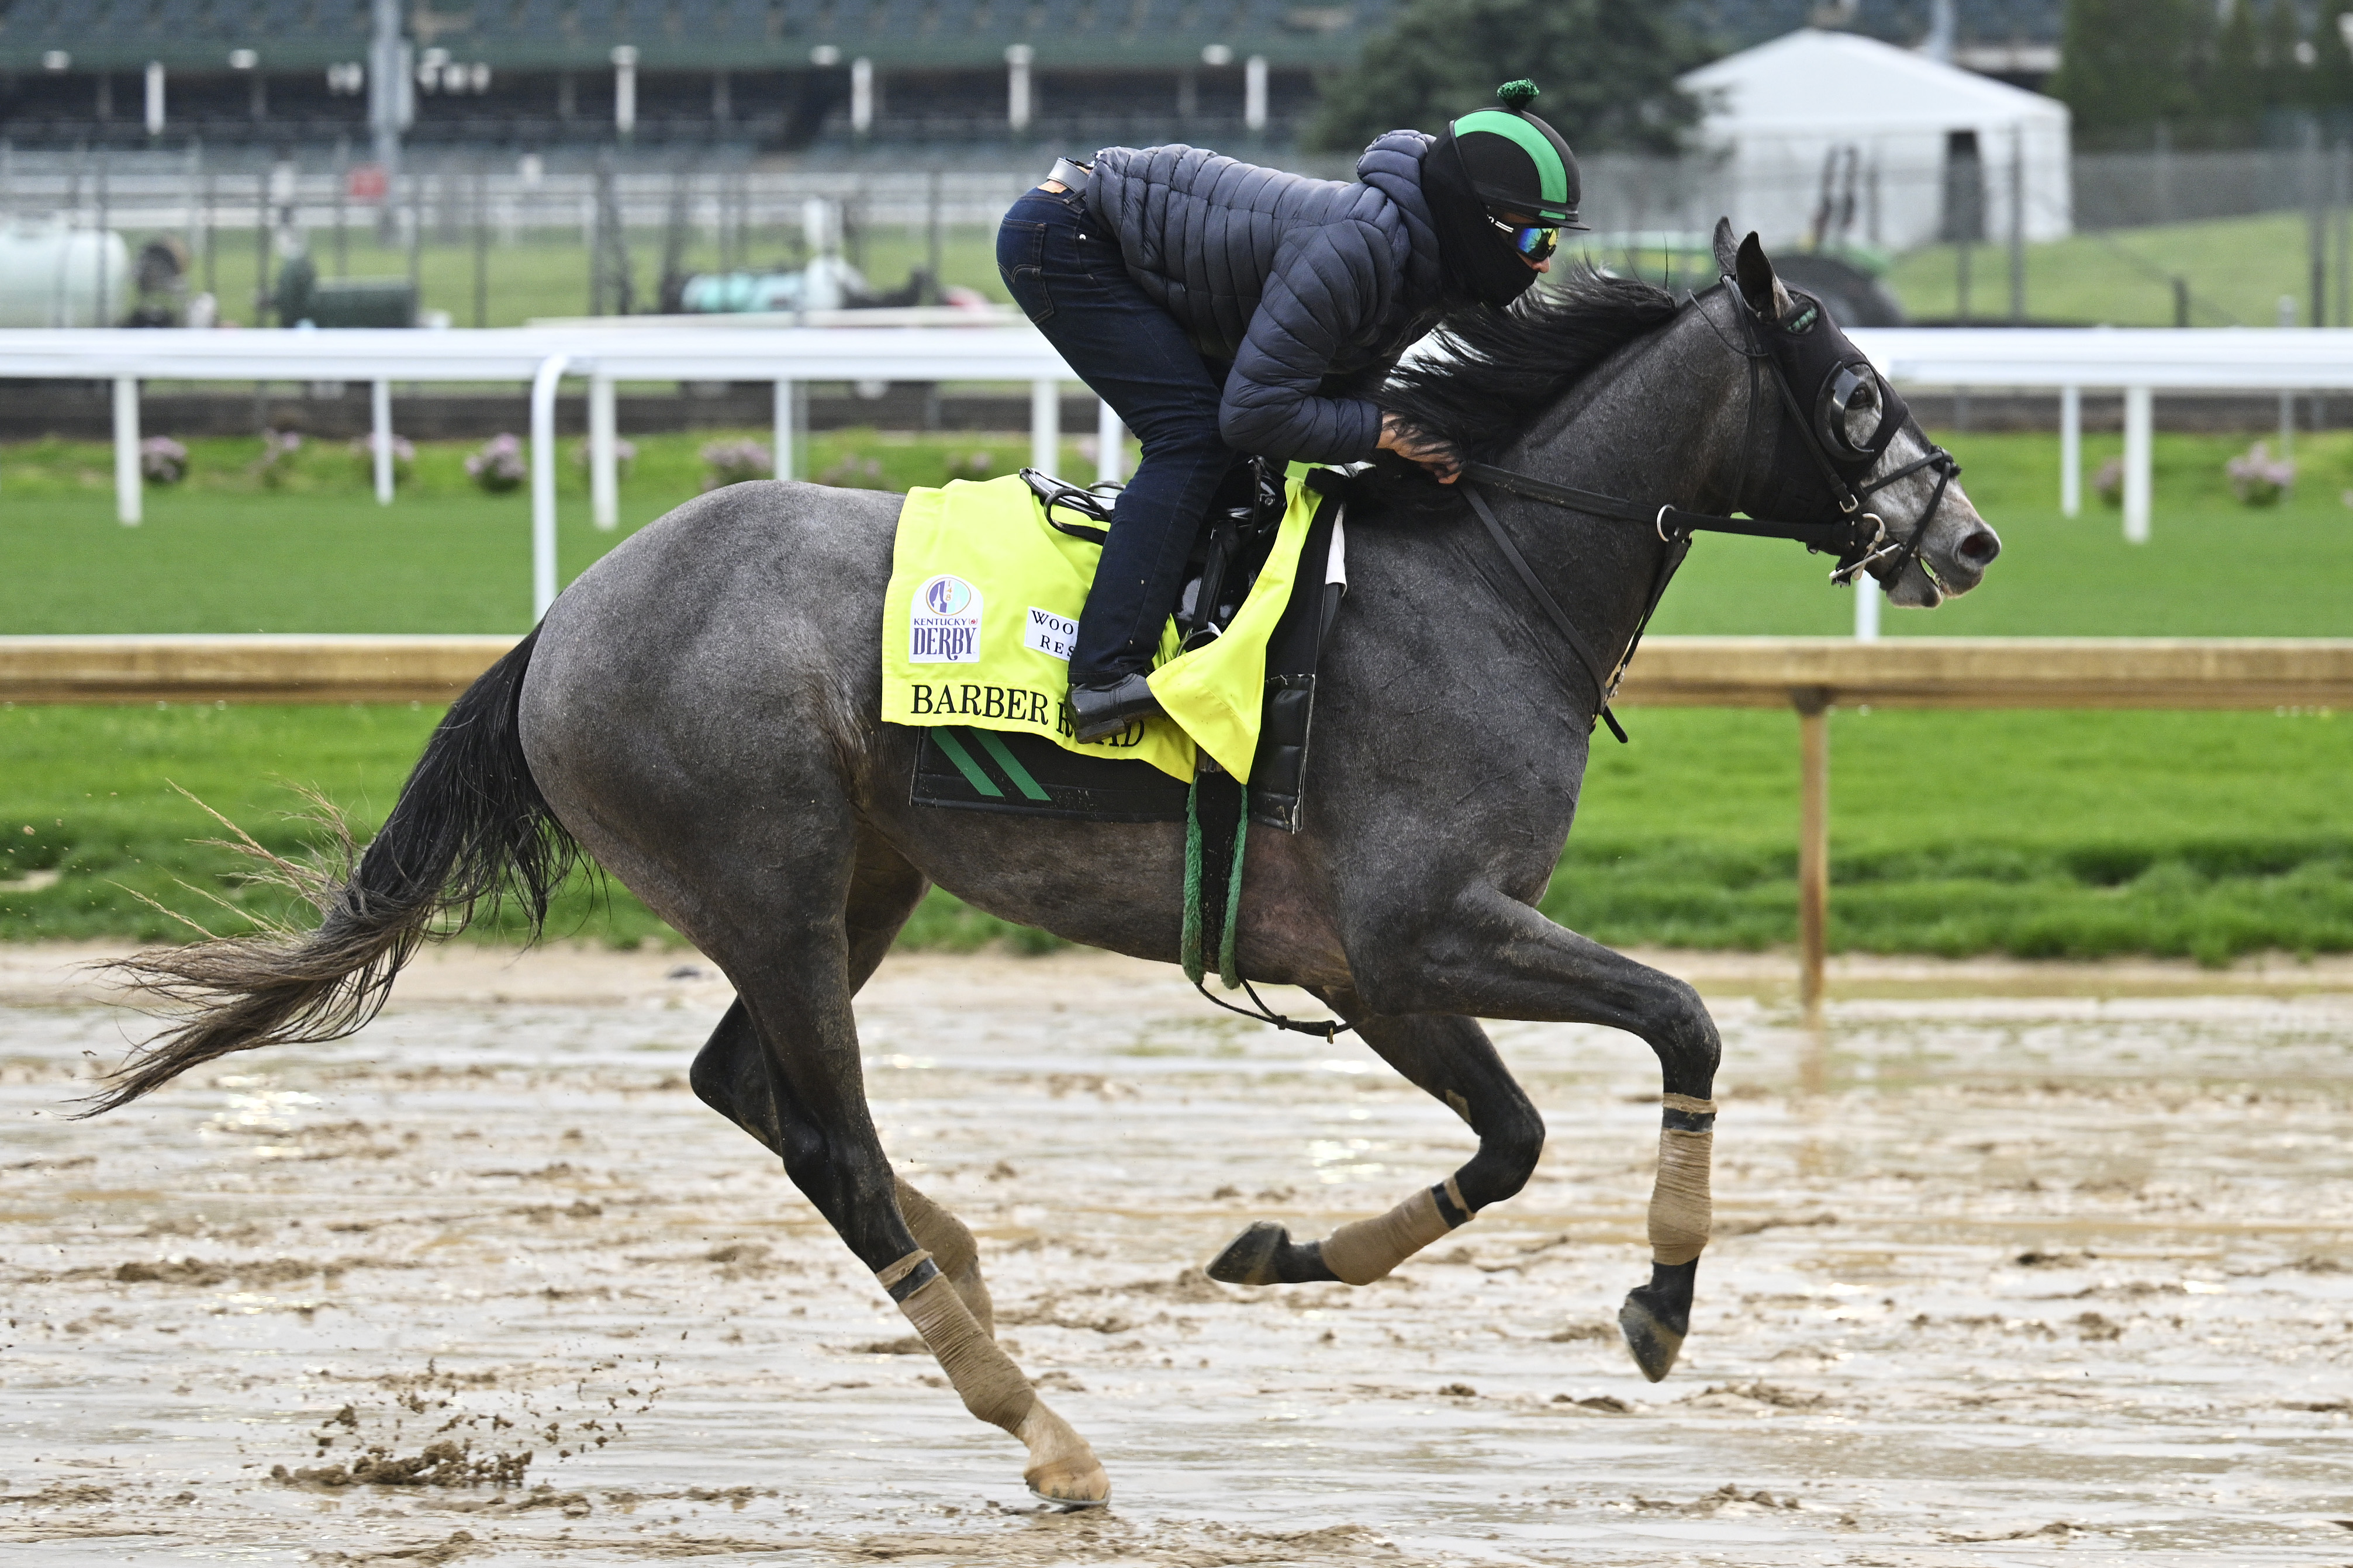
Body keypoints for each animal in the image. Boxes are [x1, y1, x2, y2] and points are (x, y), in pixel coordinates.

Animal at [96, 223, 2005, 1504]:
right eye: (1850, 388)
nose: (1970, 534)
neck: (1485, 580)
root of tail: (562, 622)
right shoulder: (1418, 931)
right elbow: (1680, 1025)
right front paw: (1663, 1301)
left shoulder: (1369, 964)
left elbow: (1515, 1139)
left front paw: (1280, 1252)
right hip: (771, 882)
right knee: (831, 1146)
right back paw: (1040, 1424)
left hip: (858, 882)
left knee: (760, 1096)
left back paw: (978, 1284)